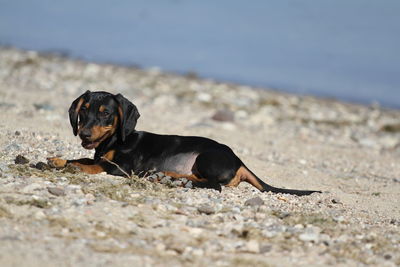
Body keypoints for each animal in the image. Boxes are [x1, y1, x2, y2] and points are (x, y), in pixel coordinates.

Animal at [48, 91, 320, 196]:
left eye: (106, 113)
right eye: (84, 110)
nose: (84, 134)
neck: (114, 141)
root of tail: (238, 160)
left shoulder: (122, 168)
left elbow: (94, 165)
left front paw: (74, 166)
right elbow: (82, 157)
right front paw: (57, 160)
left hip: (205, 157)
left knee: (213, 185)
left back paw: (175, 180)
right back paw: (168, 177)